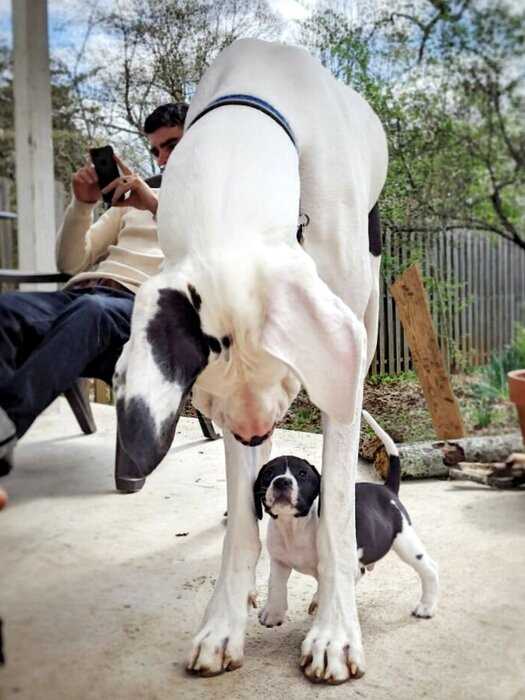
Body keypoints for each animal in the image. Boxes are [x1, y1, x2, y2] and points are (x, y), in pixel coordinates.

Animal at [254, 408, 438, 628]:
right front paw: (273, 613)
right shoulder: (279, 561)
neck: (294, 525)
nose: (281, 481)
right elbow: (275, 585)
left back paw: (426, 607)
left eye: (302, 474)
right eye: (269, 474)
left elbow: (328, 589)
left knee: (429, 568)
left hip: (405, 540)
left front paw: (319, 604)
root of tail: (386, 488)